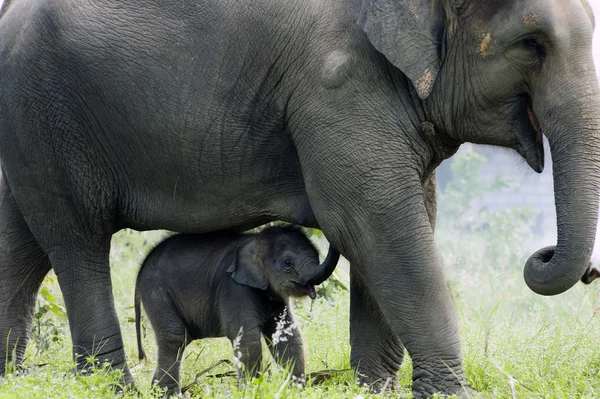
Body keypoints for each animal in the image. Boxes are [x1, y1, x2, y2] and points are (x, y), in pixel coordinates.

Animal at [135, 227, 338, 396]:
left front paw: (295, 391)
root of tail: (141, 267)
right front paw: (251, 391)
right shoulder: (233, 288)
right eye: (287, 262)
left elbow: (286, 335)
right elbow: (246, 337)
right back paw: (167, 394)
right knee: (175, 337)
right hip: (156, 292)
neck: (254, 240)